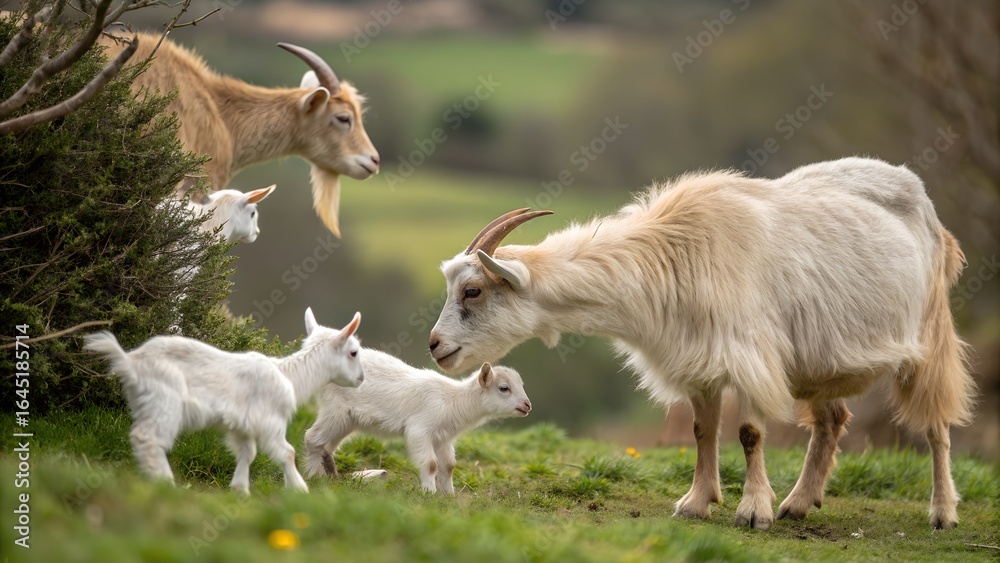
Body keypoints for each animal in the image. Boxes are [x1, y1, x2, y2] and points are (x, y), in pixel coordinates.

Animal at [83, 308, 364, 494]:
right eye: (353, 352)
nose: (362, 378)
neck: (289, 376)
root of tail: (129, 361)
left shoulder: (242, 426)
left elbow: (247, 453)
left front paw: (240, 490)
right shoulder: (269, 420)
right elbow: (288, 452)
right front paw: (299, 490)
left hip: (144, 404)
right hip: (164, 402)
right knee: (149, 438)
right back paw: (166, 484)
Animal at [303, 348, 531, 493]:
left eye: (521, 385)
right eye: (504, 388)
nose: (527, 405)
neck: (452, 400)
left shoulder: (443, 437)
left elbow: (448, 465)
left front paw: (449, 494)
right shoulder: (420, 430)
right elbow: (430, 464)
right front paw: (429, 492)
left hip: (347, 421)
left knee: (326, 446)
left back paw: (329, 475)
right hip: (336, 411)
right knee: (311, 438)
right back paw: (314, 476)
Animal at [427, 157, 975, 530]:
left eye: (472, 290)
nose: (435, 345)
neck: (674, 252)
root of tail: (924, 201)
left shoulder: (750, 354)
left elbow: (750, 433)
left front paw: (752, 511)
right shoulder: (696, 359)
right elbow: (701, 431)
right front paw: (696, 502)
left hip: (929, 334)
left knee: (937, 424)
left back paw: (942, 512)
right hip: (819, 360)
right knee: (833, 420)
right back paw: (799, 503)